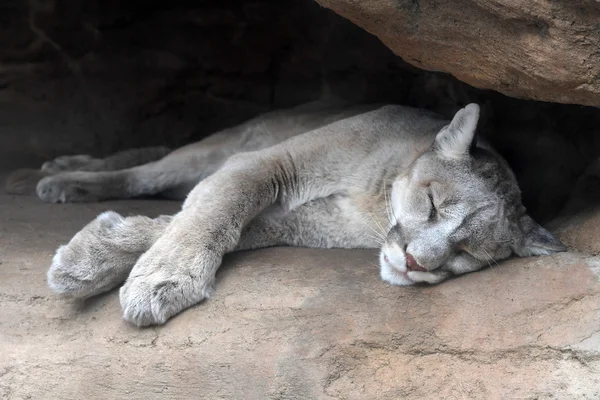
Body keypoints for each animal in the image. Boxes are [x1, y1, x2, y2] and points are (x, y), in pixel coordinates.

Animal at [9, 100, 564, 324]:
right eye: (432, 205)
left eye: (466, 253)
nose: (413, 263)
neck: (375, 199)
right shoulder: (266, 163)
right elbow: (216, 210)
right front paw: (157, 276)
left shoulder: (299, 221)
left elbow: (217, 224)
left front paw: (107, 256)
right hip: (219, 145)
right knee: (147, 170)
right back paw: (66, 176)